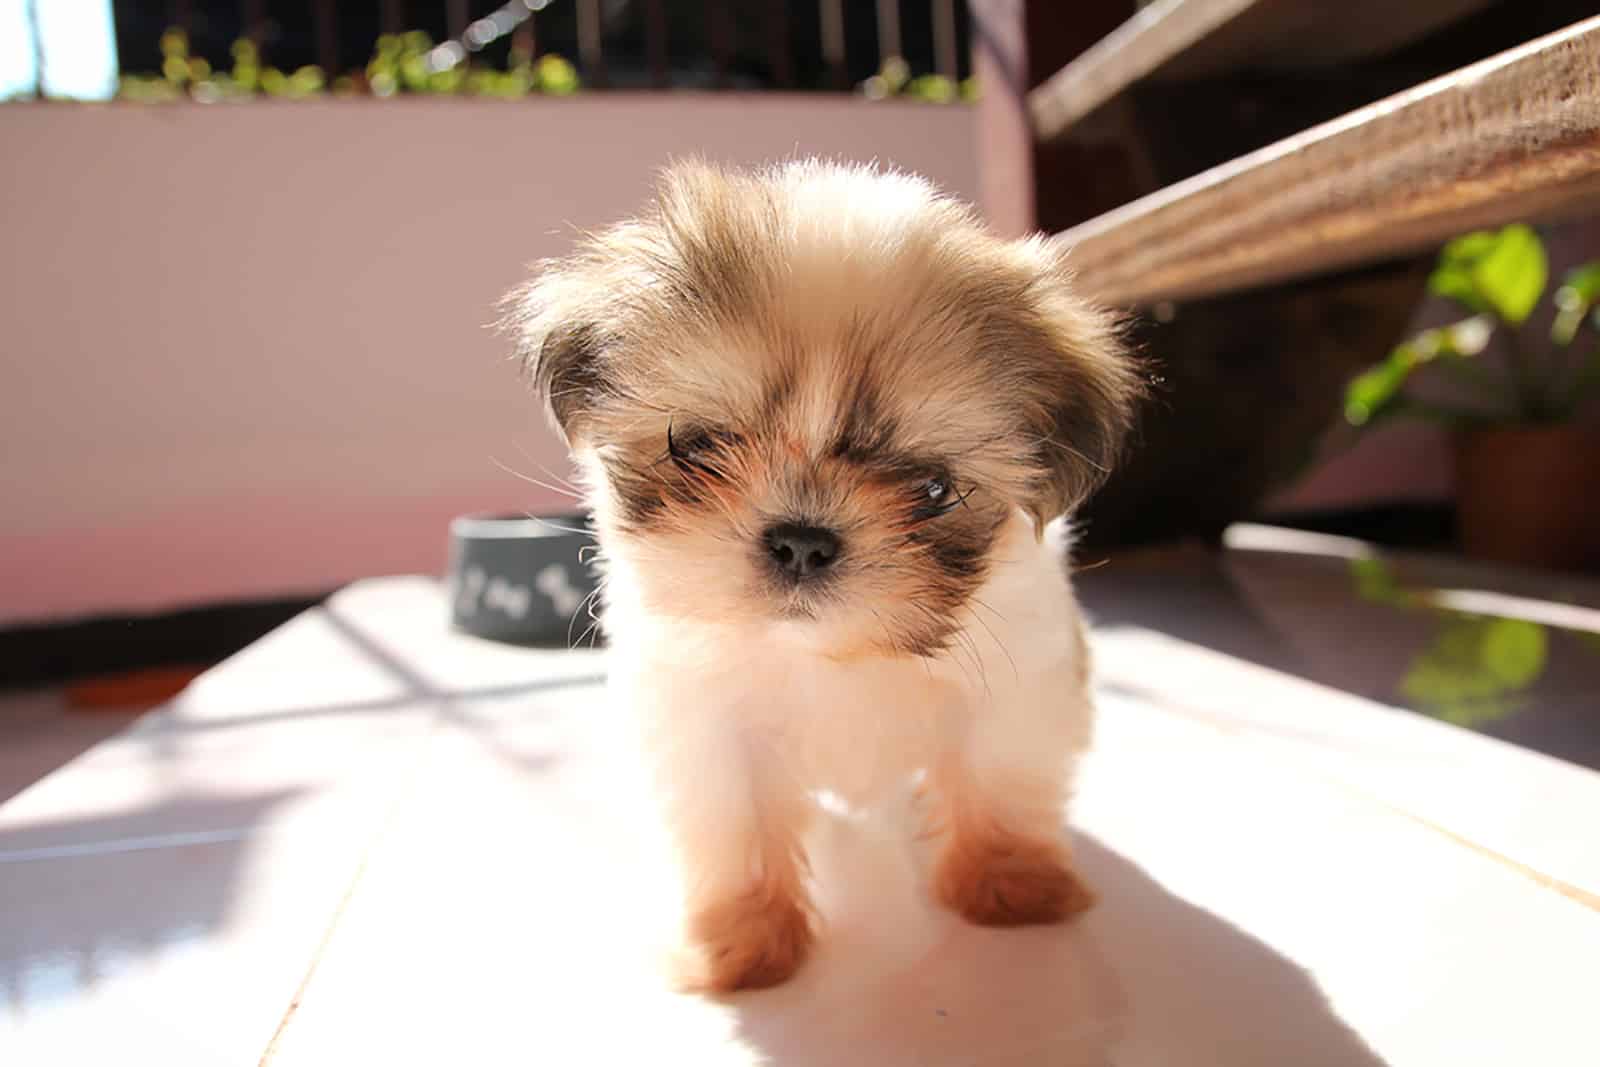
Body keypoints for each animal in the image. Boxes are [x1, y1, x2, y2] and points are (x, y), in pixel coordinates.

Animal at [499, 158, 1139, 991]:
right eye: (699, 448)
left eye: (933, 489)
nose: (802, 540)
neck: (827, 651)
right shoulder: (703, 721)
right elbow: (733, 824)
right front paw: (743, 941)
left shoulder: (1020, 684)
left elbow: (1000, 774)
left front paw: (1008, 883)